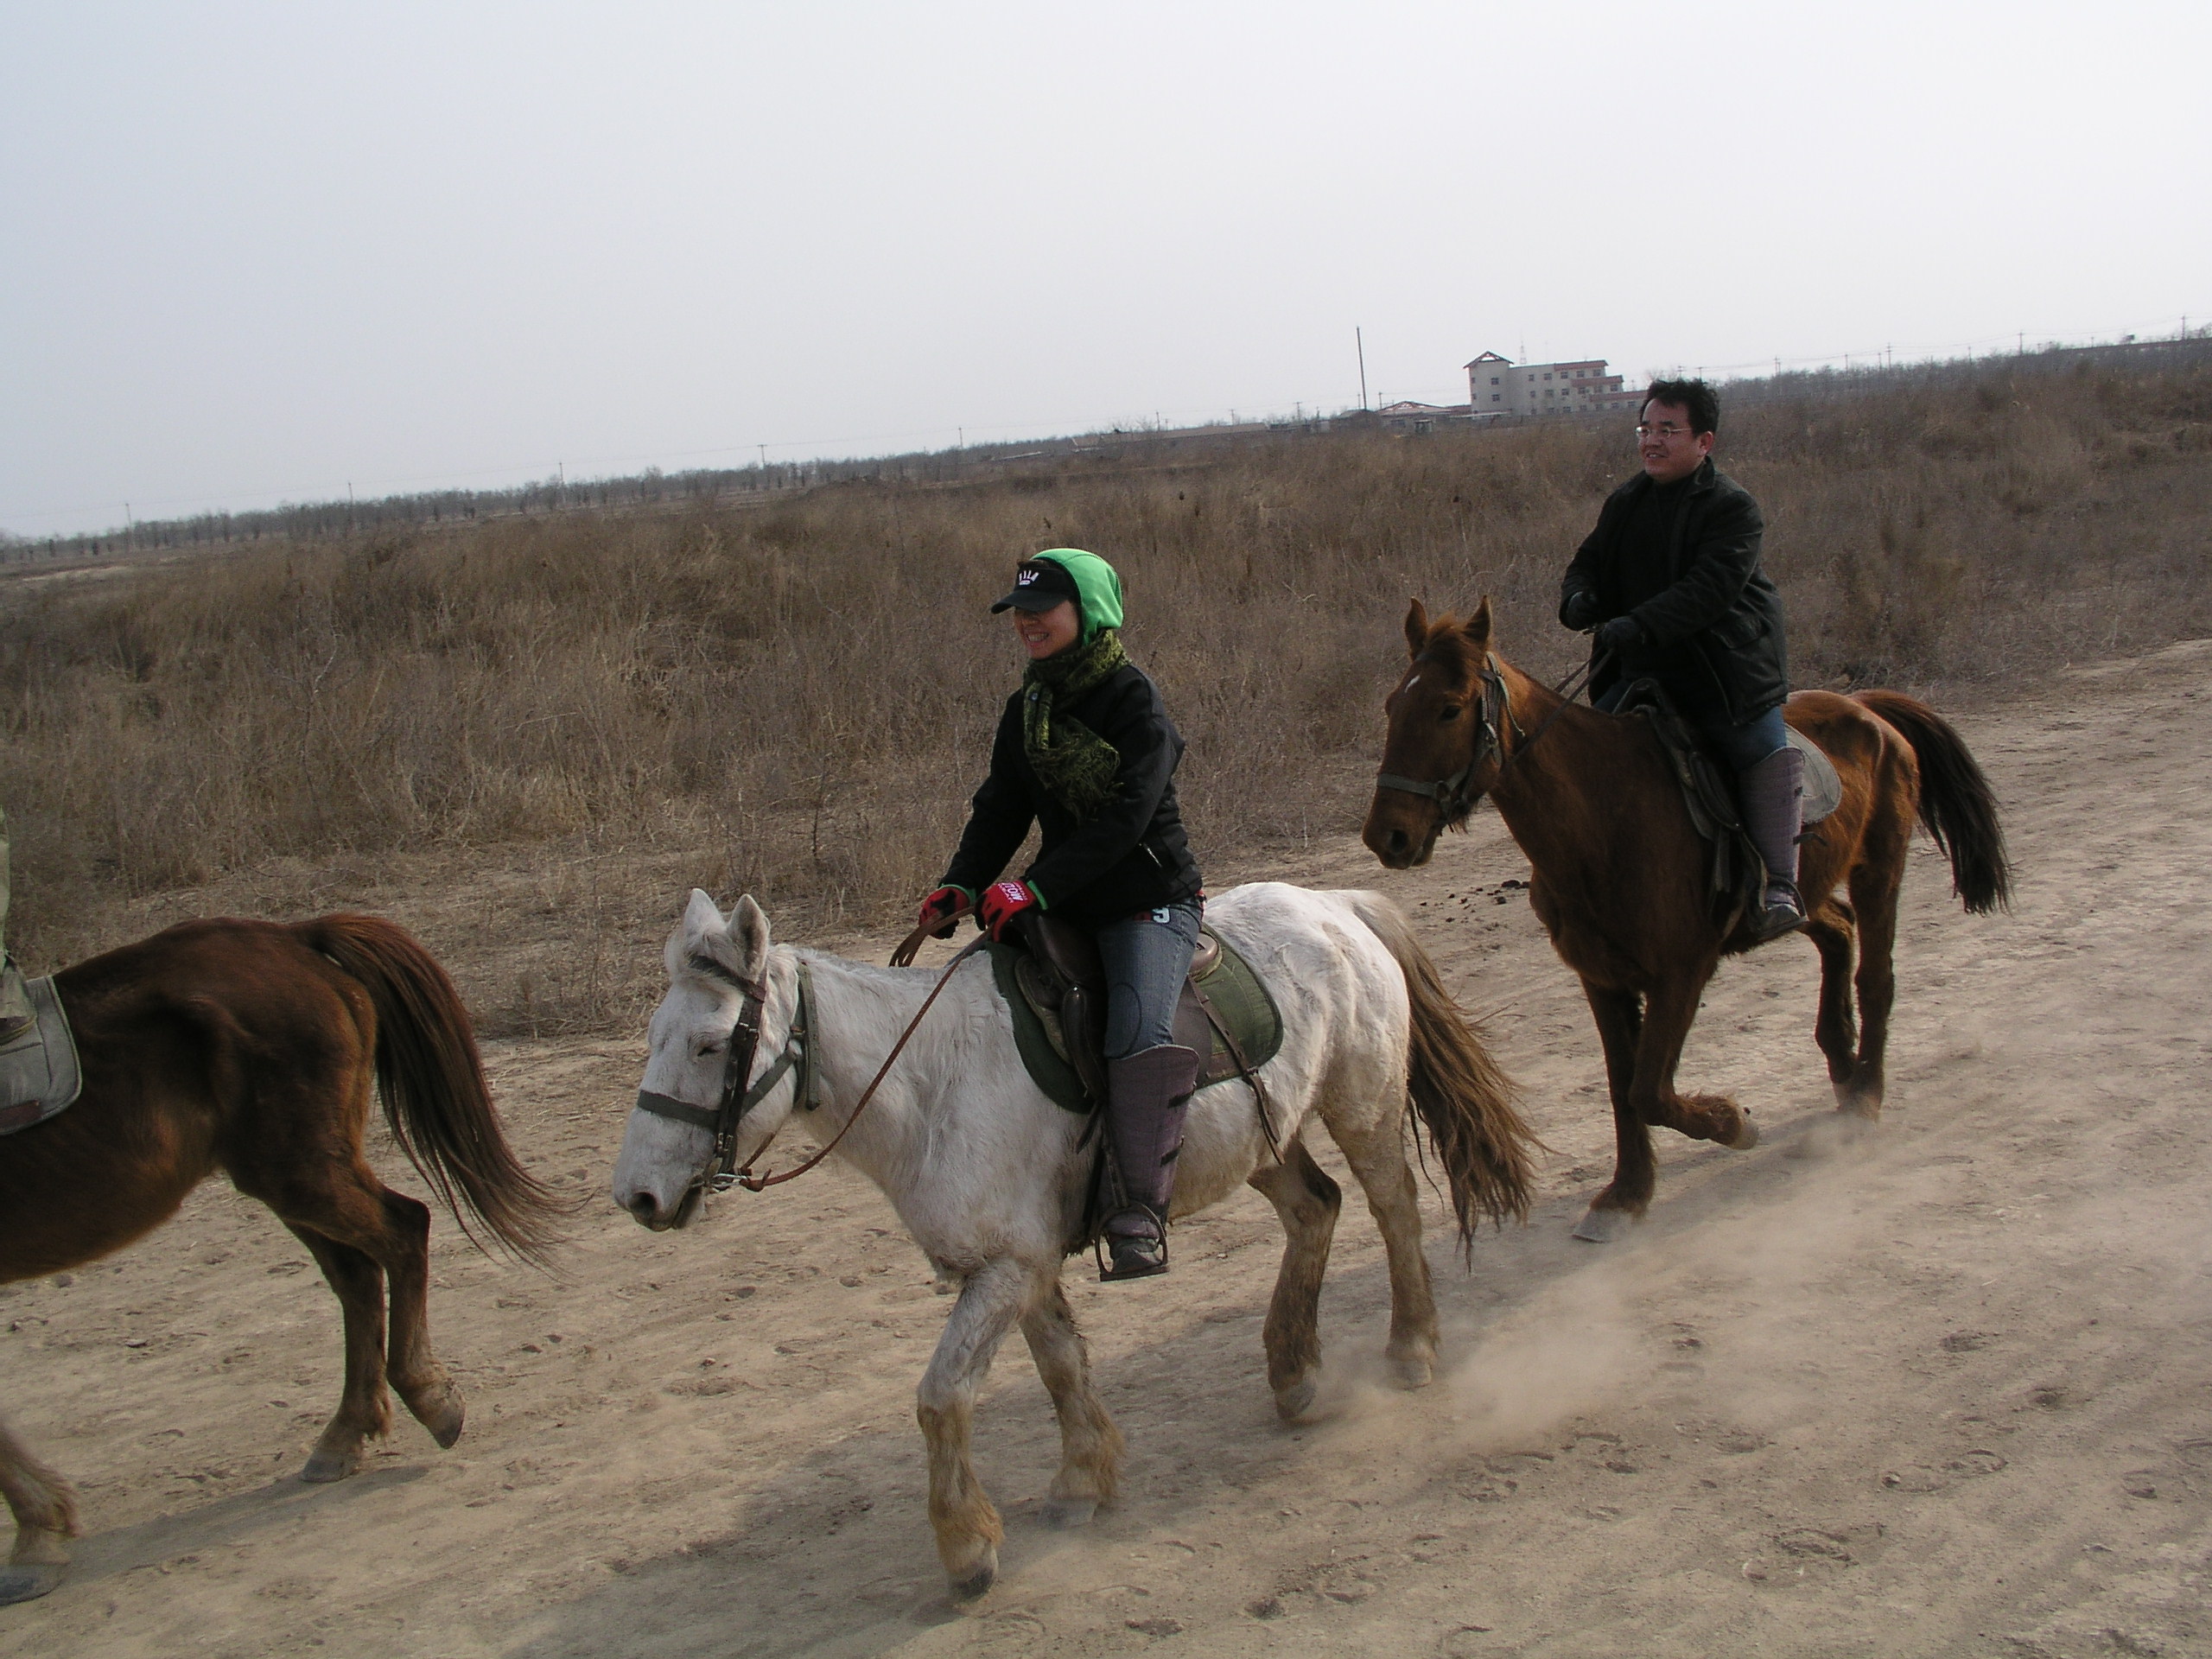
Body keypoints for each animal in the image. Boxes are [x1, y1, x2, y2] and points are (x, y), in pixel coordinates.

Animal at [0, 915, 562, 1601]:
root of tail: (291, 935)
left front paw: (36, 1537)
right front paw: (41, 1529)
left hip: (298, 1170)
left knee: (404, 1230)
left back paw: (427, 1397)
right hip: (286, 1174)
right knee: (358, 1273)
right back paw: (346, 1435)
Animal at [614, 889, 1530, 1601]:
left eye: (708, 1044)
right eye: (655, 1037)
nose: (637, 1197)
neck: (931, 1083)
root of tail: (1337, 904)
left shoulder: (1005, 1271)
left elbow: (941, 1397)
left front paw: (967, 1549)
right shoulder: (1018, 1263)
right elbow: (1059, 1365)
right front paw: (1082, 1480)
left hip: (1363, 1105)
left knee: (1393, 1209)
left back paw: (1410, 1348)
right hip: (1256, 1142)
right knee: (1316, 1211)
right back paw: (1295, 1373)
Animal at [1353, 606, 2017, 1238]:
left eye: (1449, 709)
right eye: (1391, 706)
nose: (1389, 836)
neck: (1606, 817)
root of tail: (1868, 710)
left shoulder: (1681, 974)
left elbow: (1649, 1091)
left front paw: (1732, 1123)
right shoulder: (1602, 980)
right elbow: (1623, 1088)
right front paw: (1626, 1195)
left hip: (1880, 869)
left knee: (1876, 977)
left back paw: (1865, 1097)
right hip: (1806, 892)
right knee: (1838, 930)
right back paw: (1843, 1065)